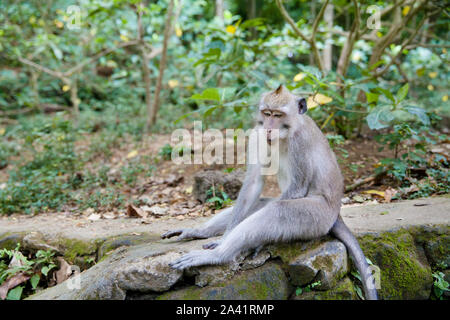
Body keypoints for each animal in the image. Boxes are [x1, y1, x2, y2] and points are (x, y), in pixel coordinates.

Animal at [163, 85, 380, 300]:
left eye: (278, 115)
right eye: (267, 113)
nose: (268, 127)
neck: (285, 134)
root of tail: (337, 214)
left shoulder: (299, 143)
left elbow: (297, 187)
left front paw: (239, 243)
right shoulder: (257, 134)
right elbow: (253, 183)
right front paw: (224, 234)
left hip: (318, 219)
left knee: (276, 210)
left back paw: (218, 256)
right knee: (260, 204)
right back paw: (199, 232)